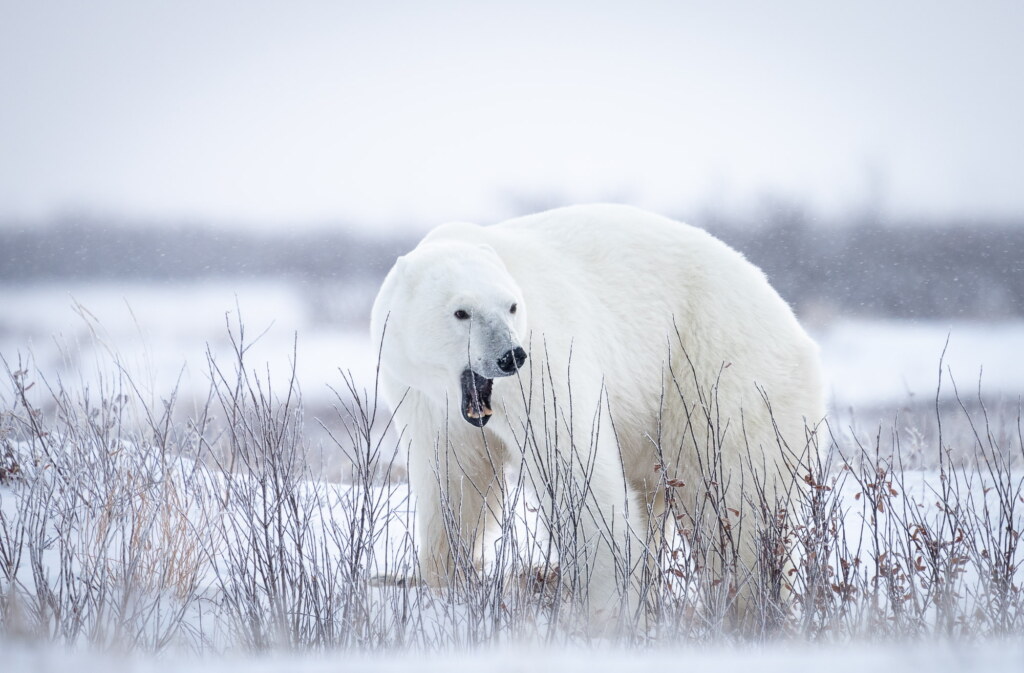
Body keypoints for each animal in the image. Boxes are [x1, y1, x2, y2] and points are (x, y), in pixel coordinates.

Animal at [370, 204, 825, 624]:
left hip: (714, 368)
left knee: (734, 495)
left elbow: (576, 468)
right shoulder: (426, 401)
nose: (510, 355)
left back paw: (749, 601)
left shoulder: (547, 369)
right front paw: (447, 581)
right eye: (461, 312)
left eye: (512, 306)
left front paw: (606, 600)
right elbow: (453, 481)